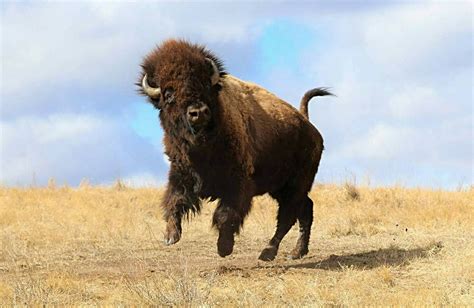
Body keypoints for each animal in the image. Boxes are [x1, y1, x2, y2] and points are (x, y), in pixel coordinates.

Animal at [139, 38, 334, 260]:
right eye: (168, 93)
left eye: (205, 84)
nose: (199, 112)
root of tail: (308, 125)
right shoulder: (181, 172)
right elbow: (174, 200)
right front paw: (171, 236)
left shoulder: (238, 182)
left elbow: (226, 214)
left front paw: (224, 247)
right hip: (282, 187)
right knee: (305, 209)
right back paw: (296, 252)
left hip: (294, 185)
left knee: (288, 216)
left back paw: (268, 252)